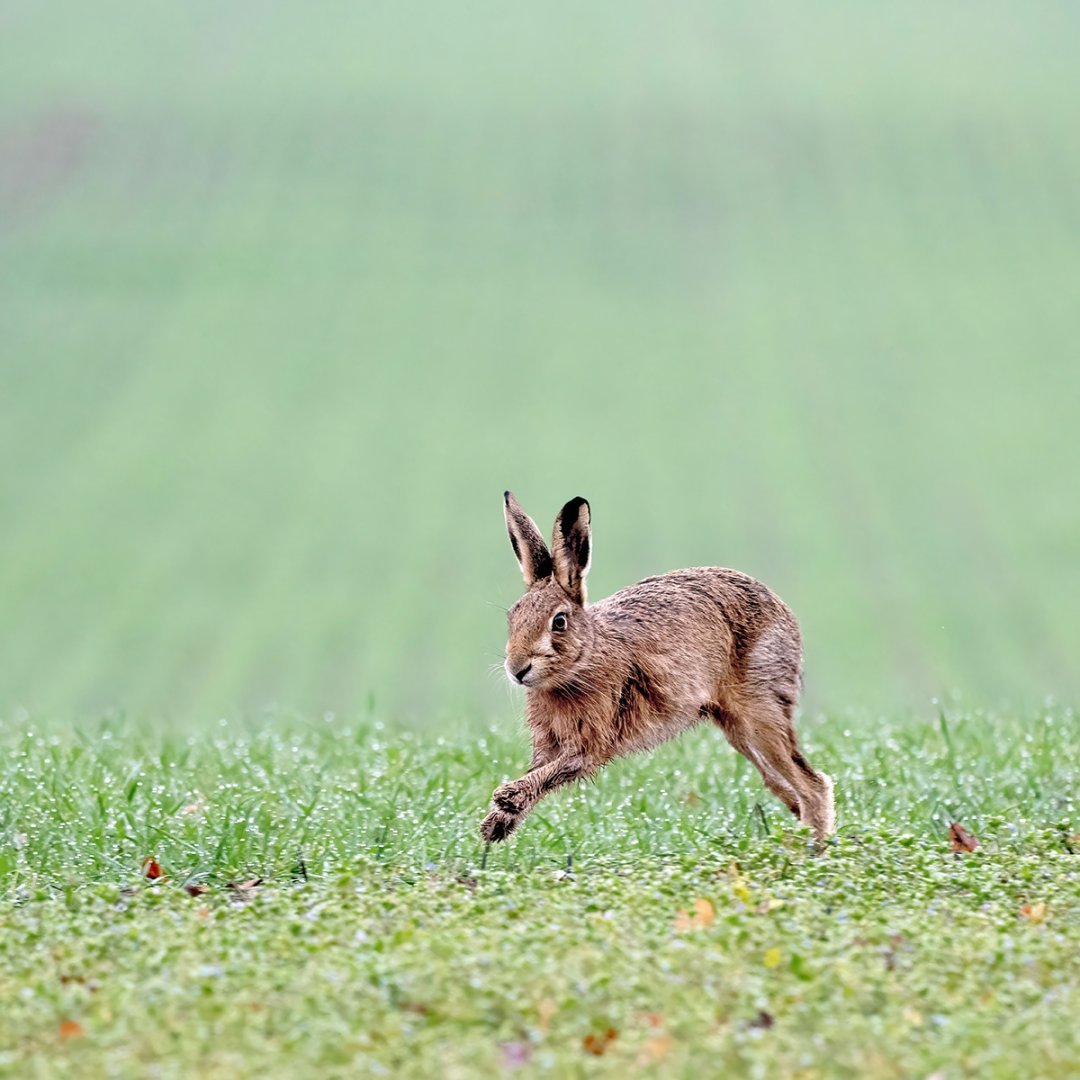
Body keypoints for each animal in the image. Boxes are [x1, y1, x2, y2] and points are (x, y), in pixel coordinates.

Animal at [479, 492, 835, 844]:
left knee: (812, 784)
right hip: (735, 725)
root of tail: (784, 614)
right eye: (513, 616)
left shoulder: (589, 743)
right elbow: (539, 771)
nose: (517, 668)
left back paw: (811, 849)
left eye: (559, 622)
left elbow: (553, 772)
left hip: (760, 709)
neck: (583, 661)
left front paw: (505, 801)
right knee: (781, 783)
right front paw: (496, 824)